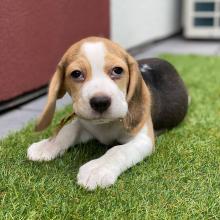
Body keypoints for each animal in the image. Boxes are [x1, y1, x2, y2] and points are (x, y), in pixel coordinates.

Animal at [26, 37, 188, 190]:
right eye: (76, 74)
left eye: (117, 70)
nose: (100, 102)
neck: (105, 125)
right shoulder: (84, 122)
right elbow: (67, 130)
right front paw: (46, 146)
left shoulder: (143, 139)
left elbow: (117, 150)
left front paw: (97, 169)